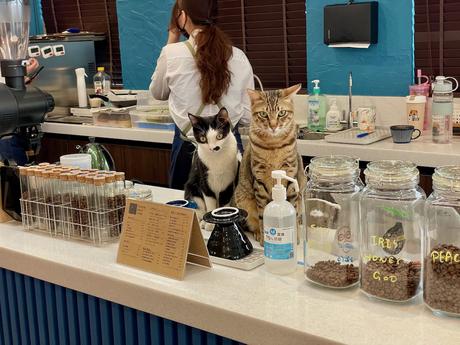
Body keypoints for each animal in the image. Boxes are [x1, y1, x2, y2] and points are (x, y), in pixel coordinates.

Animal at [234, 84, 306, 243]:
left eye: (282, 113)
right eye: (263, 114)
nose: (273, 126)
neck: (274, 145)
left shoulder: (290, 174)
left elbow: (292, 207)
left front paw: (294, 236)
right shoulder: (259, 179)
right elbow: (262, 212)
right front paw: (264, 237)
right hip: (243, 197)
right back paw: (257, 232)